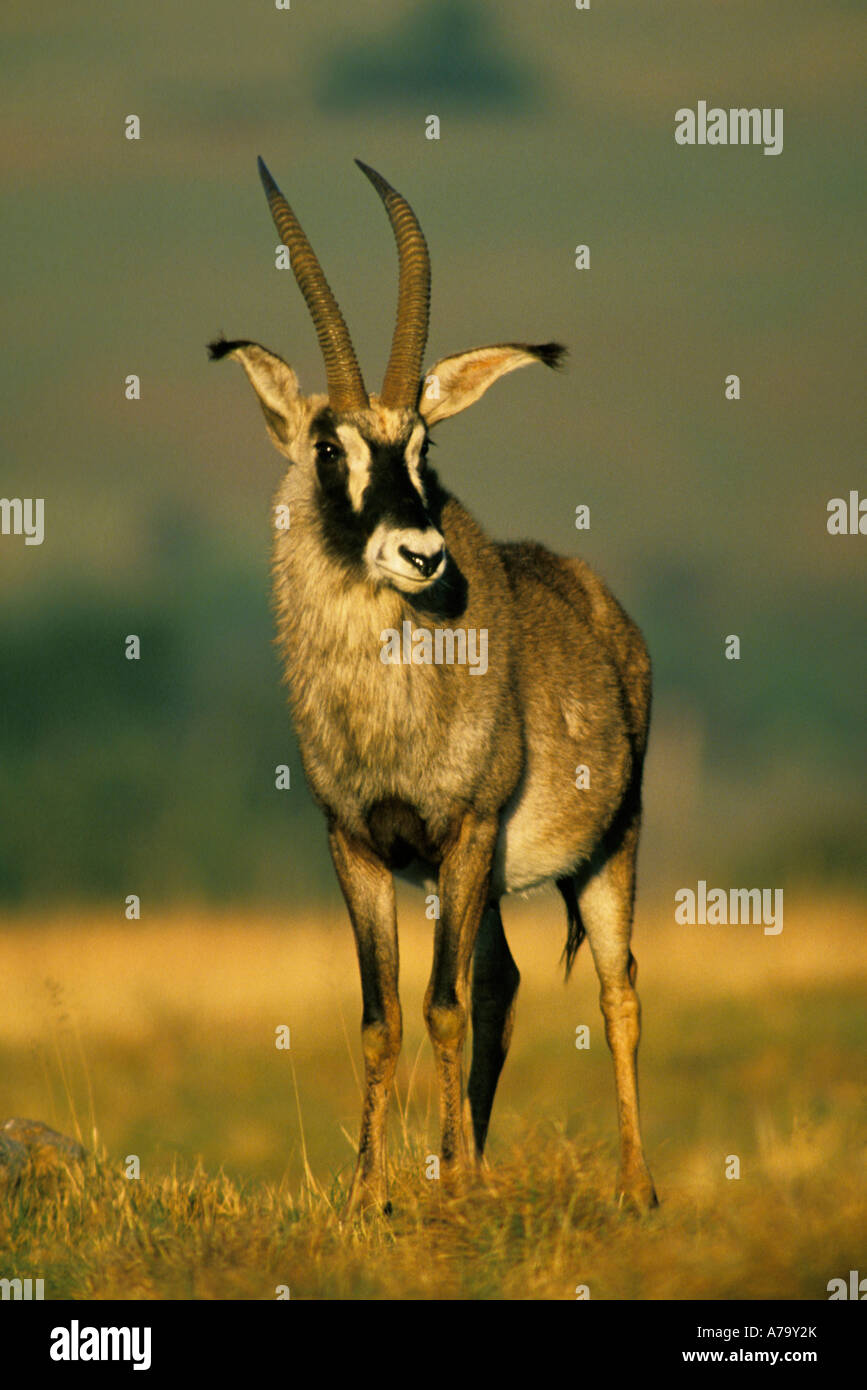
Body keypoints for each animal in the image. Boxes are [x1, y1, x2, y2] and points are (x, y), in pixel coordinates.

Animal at [209, 158, 657, 1214]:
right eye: (328, 448)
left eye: (424, 447)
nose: (420, 553)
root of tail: (604, 610)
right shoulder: (358, 846)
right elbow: (384, 1017)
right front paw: (371, 1191)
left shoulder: (463, 829)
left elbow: (441, 1006)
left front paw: (447, 1192)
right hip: (490, 879)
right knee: (504, 986)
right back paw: (475, 1160)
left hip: (602, 850)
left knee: (616, 991)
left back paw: (633, 1189)